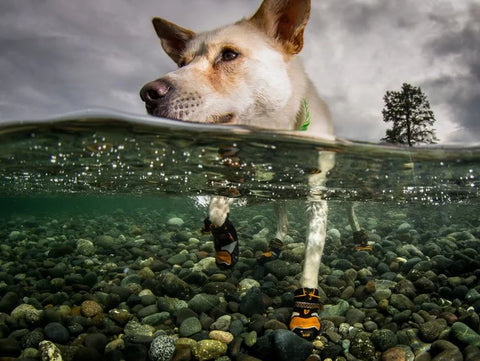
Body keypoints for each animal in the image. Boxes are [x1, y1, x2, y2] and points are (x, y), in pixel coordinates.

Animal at [141, 0, 336, 338]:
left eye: (229, 55)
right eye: (181, 62)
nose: (147, 94)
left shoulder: (317, 197)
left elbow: (311, 258)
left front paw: (305, 306)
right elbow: (219, 208)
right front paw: (224, 233)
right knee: (281, 215)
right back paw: (273, 244)